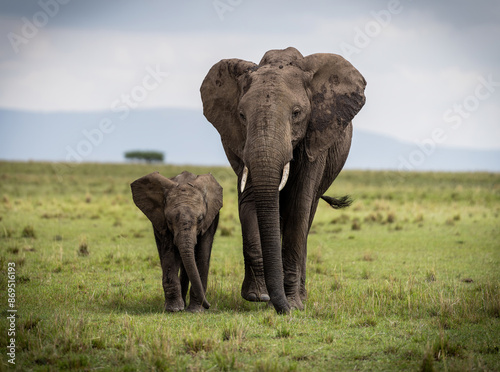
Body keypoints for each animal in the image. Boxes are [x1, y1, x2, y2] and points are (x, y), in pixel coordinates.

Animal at [131, 171, 223, 310]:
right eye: (169, 221)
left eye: (200, 219)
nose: (209, 305)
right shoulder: (162, 222)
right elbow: (169, 253)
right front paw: (173, 309)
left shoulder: (210, 220)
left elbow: (202, 252)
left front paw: (196, 310)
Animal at [200, 46, 368, 314]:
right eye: (241, 115)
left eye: (297, 113)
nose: (284, 310)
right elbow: (250, 202)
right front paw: (259, 296)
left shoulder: (315, 135)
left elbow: (299, 204)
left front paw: (292, 304)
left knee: (306, 215)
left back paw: (300, 296)